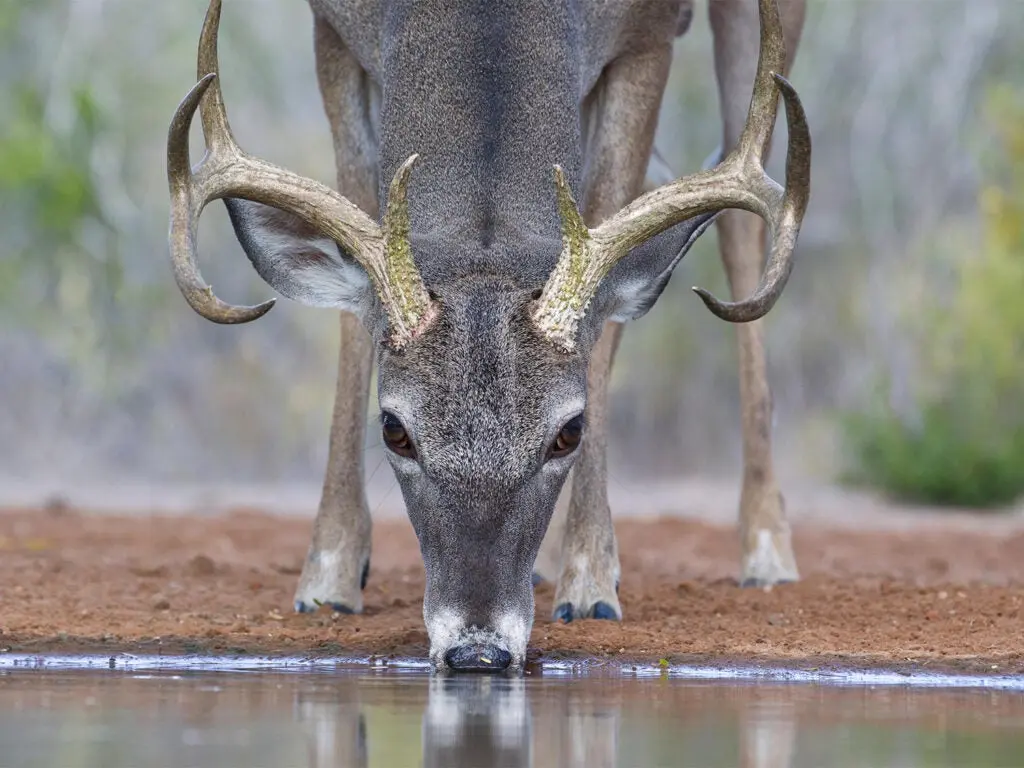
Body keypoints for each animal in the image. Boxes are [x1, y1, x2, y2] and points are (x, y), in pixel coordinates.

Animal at [167, 0, 806, 671]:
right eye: (393, 430)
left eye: (569, 430)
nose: (477, 649)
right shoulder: (333, 31)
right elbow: (353, 282)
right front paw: (328, 579)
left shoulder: (648, 37)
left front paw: (591, 584)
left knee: (742, 223)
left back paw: (766, 552)